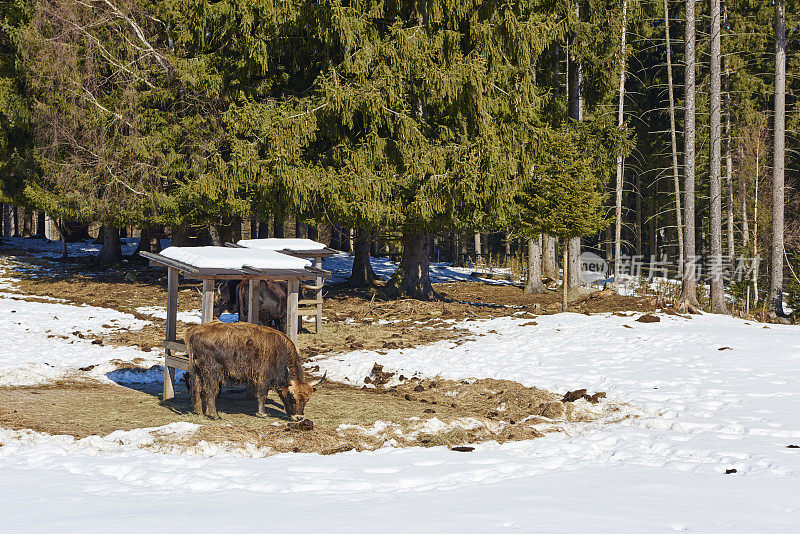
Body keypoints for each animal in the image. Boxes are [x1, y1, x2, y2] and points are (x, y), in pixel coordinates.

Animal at [186, 322, 320, 422]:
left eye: (307, 400)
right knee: (210, 391)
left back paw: (199, 412)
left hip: (198, 371)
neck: (279, 352)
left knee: (196, 389)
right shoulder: (264, 378)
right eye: (293, 398)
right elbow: (262, 395)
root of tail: (195, 331)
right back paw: (215, 415)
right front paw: (262, 413)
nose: (299, 417)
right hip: (212, 371)